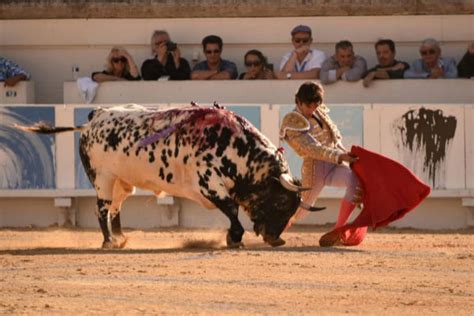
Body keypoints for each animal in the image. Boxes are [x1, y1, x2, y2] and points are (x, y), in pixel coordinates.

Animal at [16, 105, 324, 248]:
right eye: (281, 203)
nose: (277, 239)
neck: (237, 147)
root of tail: (94, 118)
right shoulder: (209, 184)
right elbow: (232, 210)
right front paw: (233, 238)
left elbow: (234, 209)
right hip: (103, 179)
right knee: (101, 209)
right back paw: (109, 241)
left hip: (123, 183)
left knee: (115, 208)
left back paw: (121, 238)